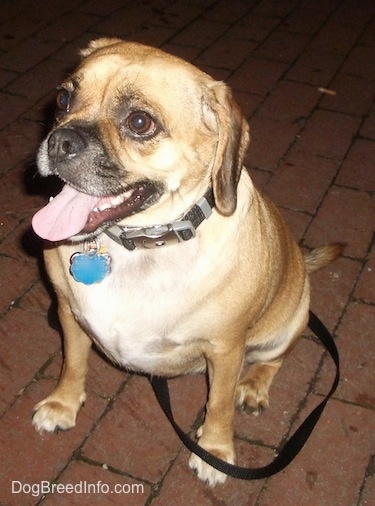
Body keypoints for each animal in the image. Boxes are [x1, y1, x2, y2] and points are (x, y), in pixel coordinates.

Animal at [31, 39, 344, 486]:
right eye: (62, 99)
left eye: (139, 122)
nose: (58, 141)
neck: (140, 244)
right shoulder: (69, 316)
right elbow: (72, 364)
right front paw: (63, 404)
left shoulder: (227, 349)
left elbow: (220, 404)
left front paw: (215, 450)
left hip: (286, 325)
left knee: (272, 360)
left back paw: (254, 387)